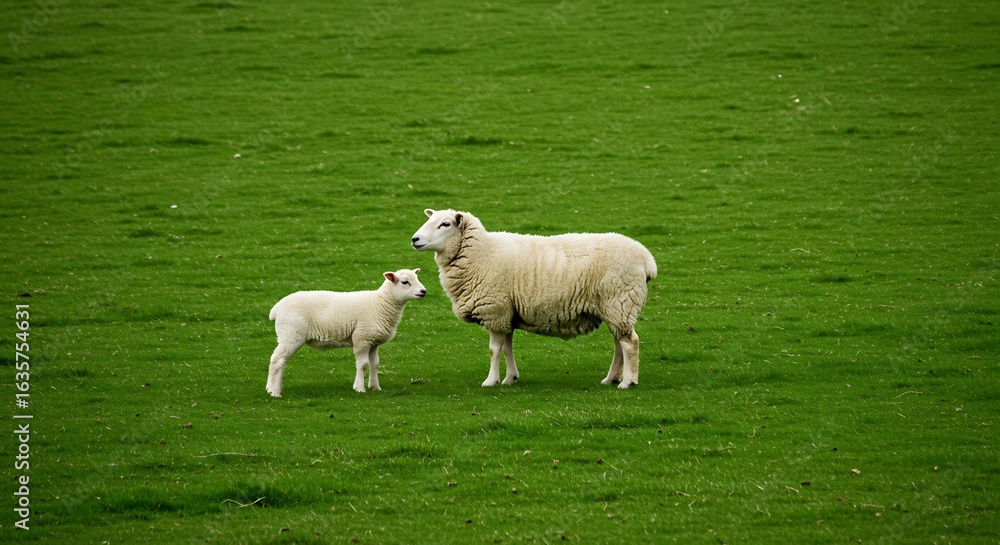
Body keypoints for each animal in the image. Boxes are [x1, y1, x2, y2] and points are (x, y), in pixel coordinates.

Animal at [266, 268, 426, 396]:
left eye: (417, 278)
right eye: (405, 282)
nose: (423, 292)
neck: (380, 303)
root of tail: (277, 307)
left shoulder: (373, 342)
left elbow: (374, 364)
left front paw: (375, 387)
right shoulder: (361, 338)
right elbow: (363, 364)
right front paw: (359, 388)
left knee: (281, 361)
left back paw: (273, 388)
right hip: (292, 334)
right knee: (277, 360)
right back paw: (274, 393)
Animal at [410, 209, 657, 389]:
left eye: (445, 224)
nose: (415, 239)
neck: (481, 254)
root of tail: (647, 259)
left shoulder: (495, 310)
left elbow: (494, 350)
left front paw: (490, 381)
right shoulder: (506, 313)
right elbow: (507, 348)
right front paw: (510, 378)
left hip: (620, 301)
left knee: (629, 343)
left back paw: (627, 382)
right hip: (614, 307)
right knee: (619, 343)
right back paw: (611, 378)